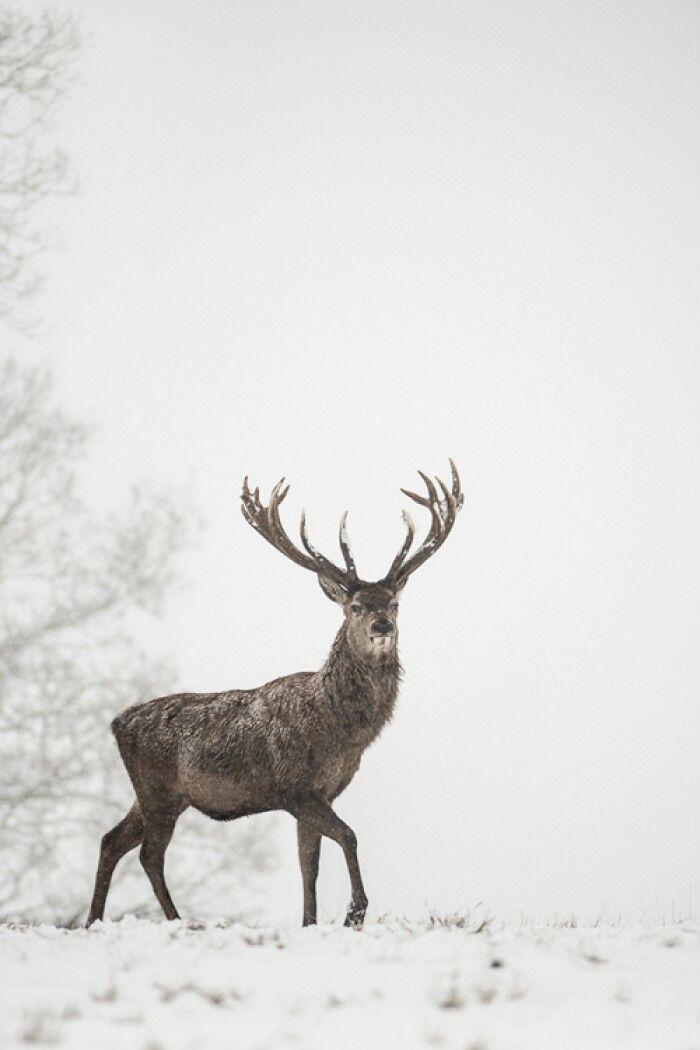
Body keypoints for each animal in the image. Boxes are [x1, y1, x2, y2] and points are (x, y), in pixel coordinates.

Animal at [85, 459, 461, 928]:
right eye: (355, 607)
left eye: (394, 603)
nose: (382, 625)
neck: (339, 731)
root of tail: (116, 723)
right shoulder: (294, 787)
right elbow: (349, 836)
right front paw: (354, 913)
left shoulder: (321, 792)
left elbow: (308, 864)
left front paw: (311, 922)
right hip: (158, 790)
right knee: (149, 854)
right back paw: (176, 919)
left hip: (153, 794)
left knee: (111, 840)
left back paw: (92, 920)